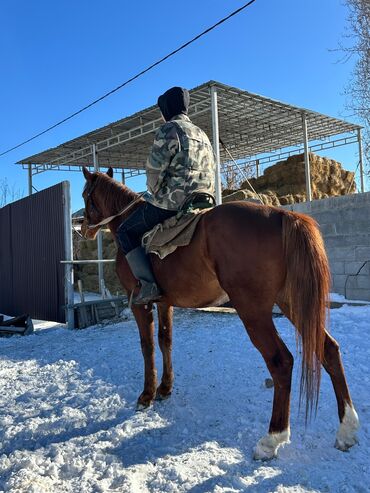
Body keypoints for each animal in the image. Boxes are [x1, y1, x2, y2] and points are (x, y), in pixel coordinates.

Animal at [81, 167, 358, 460]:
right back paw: (347, 429)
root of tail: (283, 215)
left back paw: (272, 439)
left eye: (86, 194)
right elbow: (165, 341)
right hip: (292, 303)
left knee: (281, 362)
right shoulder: (164, 302)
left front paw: (146, 396)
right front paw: (165, 388)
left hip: (253, 311)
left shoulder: (139, 303)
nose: (83, 228)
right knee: (328, 350)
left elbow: (147, 346)